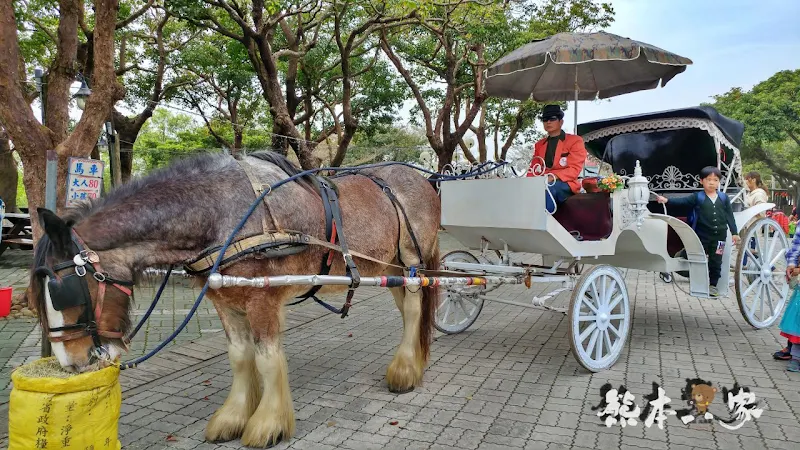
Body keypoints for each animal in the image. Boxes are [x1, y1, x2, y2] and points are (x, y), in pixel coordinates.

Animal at [31, 151, 440, 446]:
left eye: (63, 291)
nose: (71, 363)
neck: (223, 214)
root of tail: (426, 179)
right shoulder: (224, 300)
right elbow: (241, 357)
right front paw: (233, 416)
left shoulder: (262, 298)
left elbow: (267, 359)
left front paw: (269, 423)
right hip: (388, 266)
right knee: (409, 309)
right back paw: (415, 361)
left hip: (412, 260)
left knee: (414, 307)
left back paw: (405, 370)